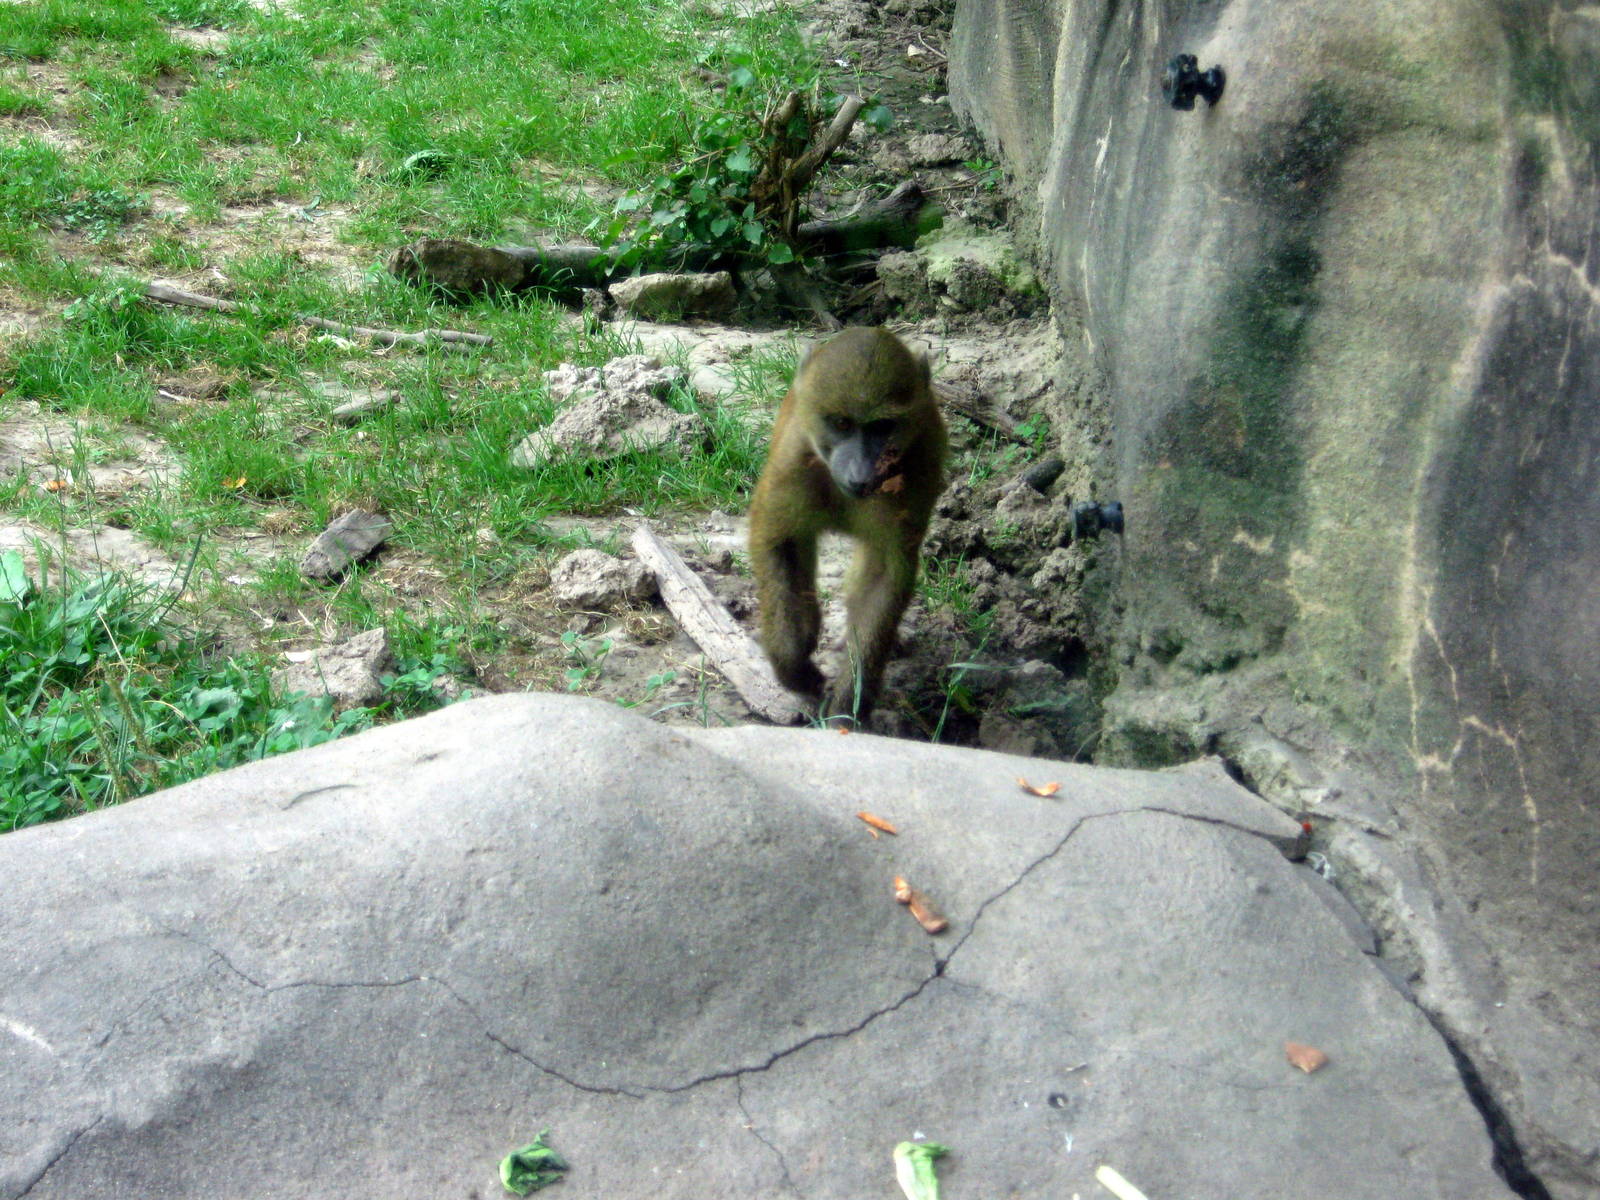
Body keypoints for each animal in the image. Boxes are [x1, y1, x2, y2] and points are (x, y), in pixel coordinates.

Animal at [747, 327, 947, 725]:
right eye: (842, 424)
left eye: (882, 427)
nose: (860, 474)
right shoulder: (795, 459)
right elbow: (780, 541)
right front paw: (795, 667)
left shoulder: (918, 468)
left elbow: (884, 575)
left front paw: (849, 705)